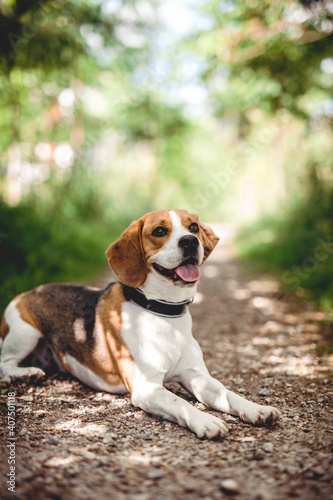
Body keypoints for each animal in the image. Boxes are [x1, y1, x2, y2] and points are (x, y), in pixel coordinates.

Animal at [0, 210, 280, 438]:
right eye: (159, 231)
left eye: (193, 227)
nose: (190, 241)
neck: (164, 313)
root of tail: (29, 291)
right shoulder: (147, 388)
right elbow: (180, 403)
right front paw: (205, 420)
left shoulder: (198, 377)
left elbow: (227, 393)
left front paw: (255, 408)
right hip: (24, 332)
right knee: (5, 361)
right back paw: (24, 374)